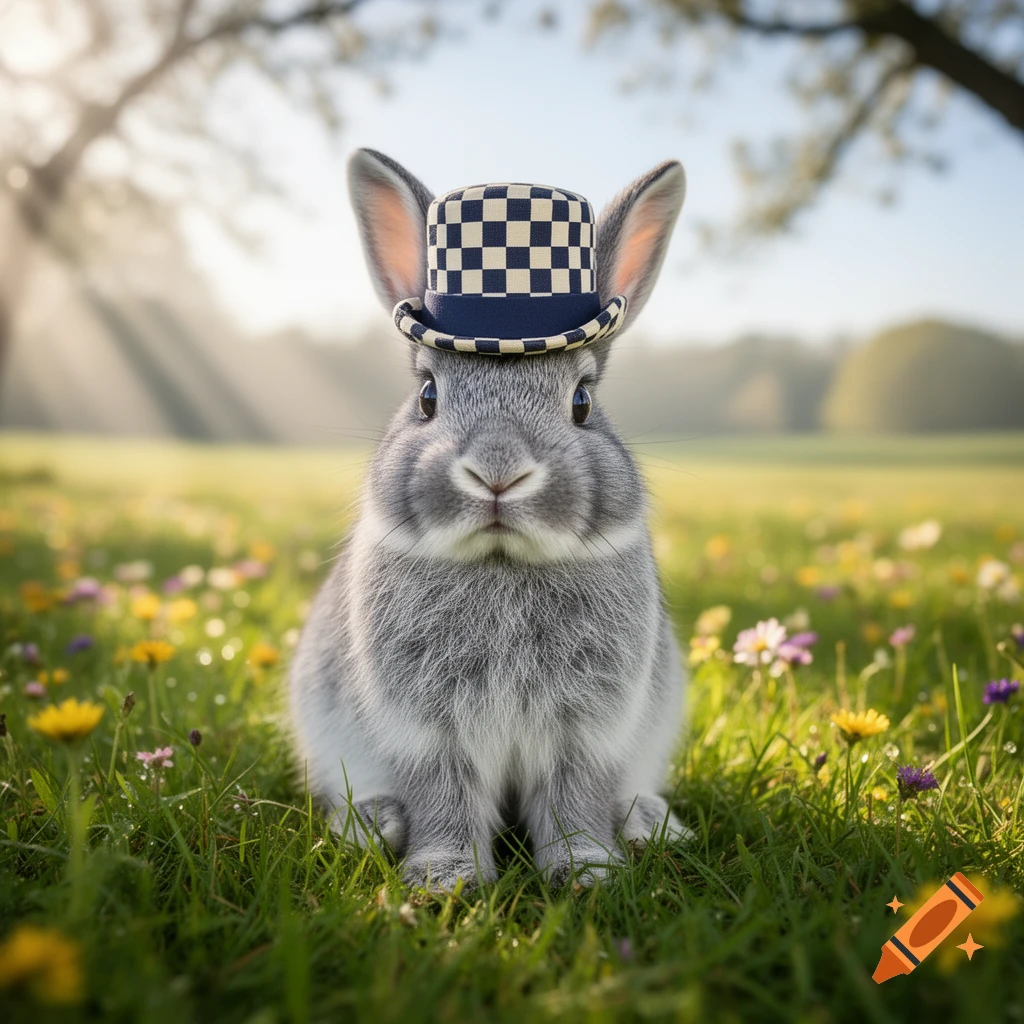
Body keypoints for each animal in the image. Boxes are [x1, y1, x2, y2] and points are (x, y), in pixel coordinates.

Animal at [289, 148, 689, 891]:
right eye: (426, 396)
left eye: (582, 402)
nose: (497, 470)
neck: (501, 562)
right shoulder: (428, 729)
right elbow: (444, 797)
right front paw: (444, 881)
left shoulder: (586, 728)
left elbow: (574, 799)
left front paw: (587, 872)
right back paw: (372, 824)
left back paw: (649, 822)